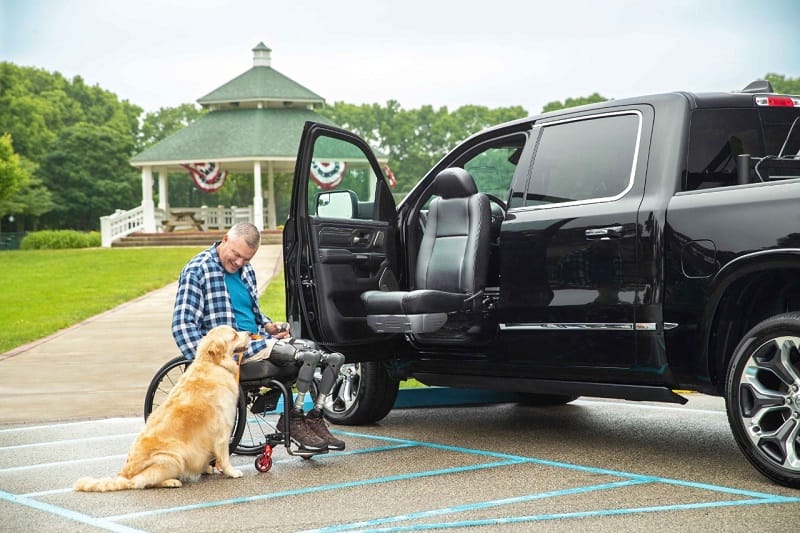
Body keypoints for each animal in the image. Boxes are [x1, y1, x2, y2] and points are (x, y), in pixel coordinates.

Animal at [76, 324, 250, 490]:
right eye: (234, 335)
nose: (250, 333)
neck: (213, 364)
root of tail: (125, 475)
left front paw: (207, 467)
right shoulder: (223, 431)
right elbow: (225, 456)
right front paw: (231, 472)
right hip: (173, 457)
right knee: (145, 482)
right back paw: (171, 481)